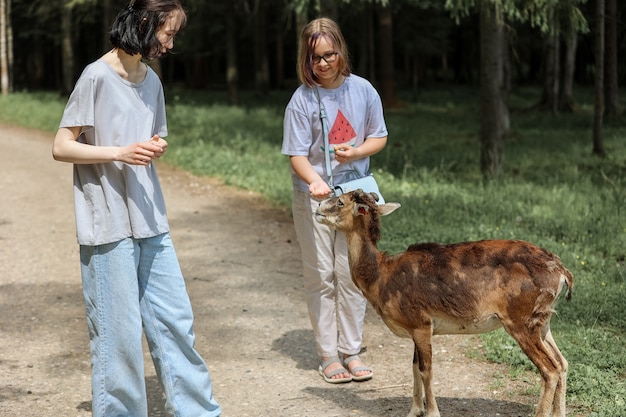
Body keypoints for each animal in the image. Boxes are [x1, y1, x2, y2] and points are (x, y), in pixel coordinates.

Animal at [314, 189, 572, 416]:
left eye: (340, 201)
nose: (317, 208)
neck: (381, 277)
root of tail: (562, 272)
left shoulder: (420, 323)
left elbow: (426, 370)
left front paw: (431, 412)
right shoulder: (417, 328)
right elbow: (414, 367)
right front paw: (414, 410)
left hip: (521, 322)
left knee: (550, 369)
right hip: (543, 322)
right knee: (562, 362)